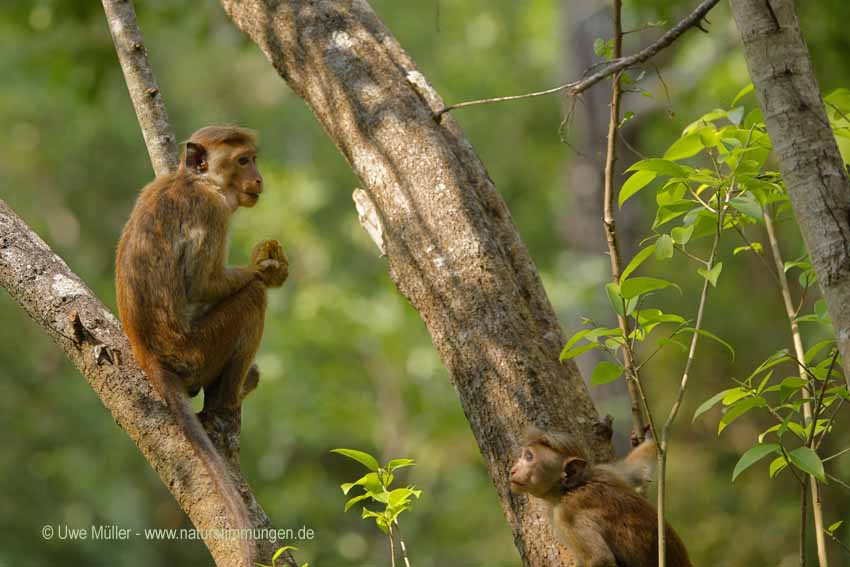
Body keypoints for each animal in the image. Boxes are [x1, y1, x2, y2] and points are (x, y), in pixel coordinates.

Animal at [114, 126, 286, 564]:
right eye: (243, 160)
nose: (258, 178)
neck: (195, 181)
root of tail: (151, 358)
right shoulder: (211, 212)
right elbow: (202, 284)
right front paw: (266, 270)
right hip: (198, 352)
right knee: (252, 298)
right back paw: (229, 397)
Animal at [506, 428, 692, 567]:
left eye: (529, 457)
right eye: (523, 456)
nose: (513, 470)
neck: (570, 488)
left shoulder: (567, 515)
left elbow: (601, 559)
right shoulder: (605, 471)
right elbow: (633, 471)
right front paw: (648, 438)